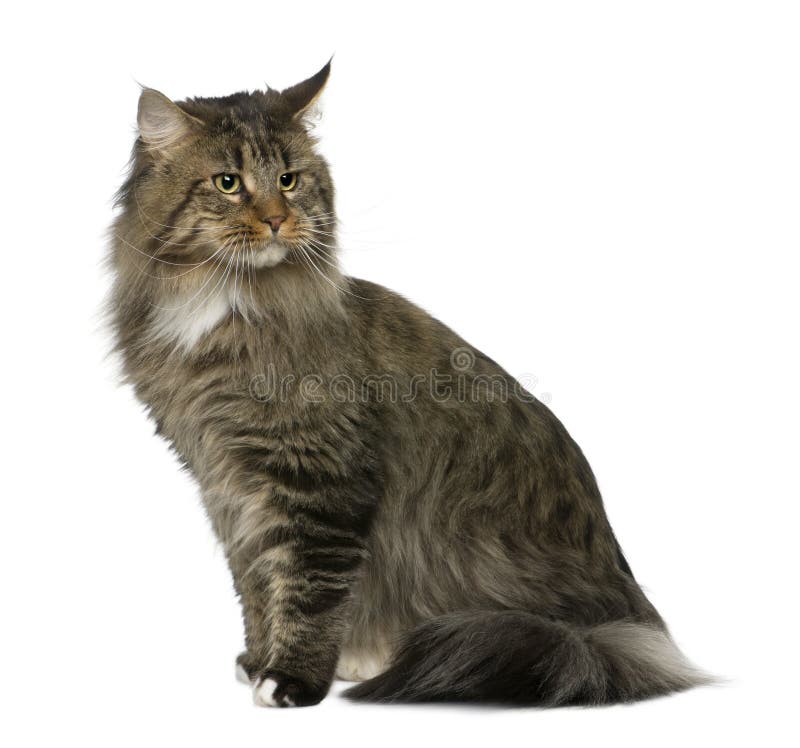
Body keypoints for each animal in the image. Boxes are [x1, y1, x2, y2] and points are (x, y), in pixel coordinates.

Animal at [104, 60, 708, 708]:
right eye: (227, 183)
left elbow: (308, 590)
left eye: (288, 180)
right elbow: (258, 583)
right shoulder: (226, 482)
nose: (276, 219)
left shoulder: (319, 481)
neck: (221, 307)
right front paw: (260, 658)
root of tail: (632, 631)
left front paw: (292, 679)